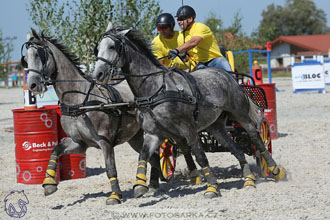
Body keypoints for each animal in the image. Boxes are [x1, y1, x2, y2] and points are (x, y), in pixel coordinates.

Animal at [20, 28, 161, 205]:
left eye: (39, 55)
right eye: (26, 59)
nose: (32, 85)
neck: (79, 101)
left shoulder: (105, 141)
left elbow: (110, 168)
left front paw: (115, 195)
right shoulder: (79, 143)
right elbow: (55, 150)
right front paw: (49, 184)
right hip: (135, 138)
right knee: (152, 155)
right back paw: (153, 184)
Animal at [91, 22, 286, 199]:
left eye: (112, 47)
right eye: (97, 49)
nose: (97, 75)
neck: (156, 89)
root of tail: (226, 75)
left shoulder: (188, 129)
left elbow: (200, 156)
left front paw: (212, 187)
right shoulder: (154, 133)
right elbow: (144, 155)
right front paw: (140, 186)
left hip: (240, 115)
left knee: (256, 138)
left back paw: (275, 170)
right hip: (216, 127)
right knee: (235, 148)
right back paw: (249, 180)